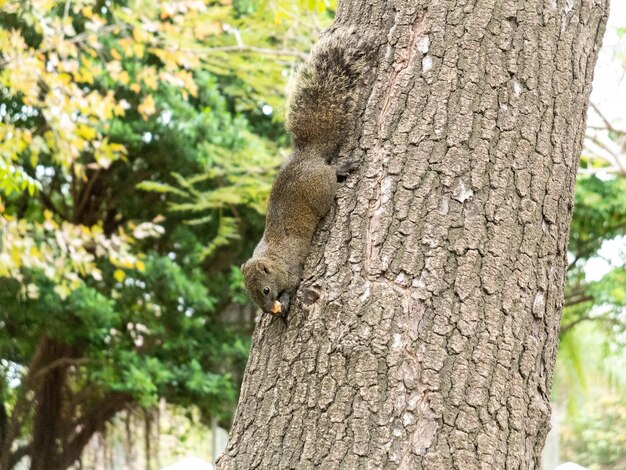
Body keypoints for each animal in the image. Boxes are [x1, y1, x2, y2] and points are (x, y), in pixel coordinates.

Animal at [241, 29, 372, 322]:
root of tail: (307, 155)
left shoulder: (293, 269)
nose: (267, 308)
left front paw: (285, 302)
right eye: (251, 296)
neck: (275, 259)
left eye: (265, 290)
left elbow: (295, 283)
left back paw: (341, 169)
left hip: (321, 188)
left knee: (330, 177)